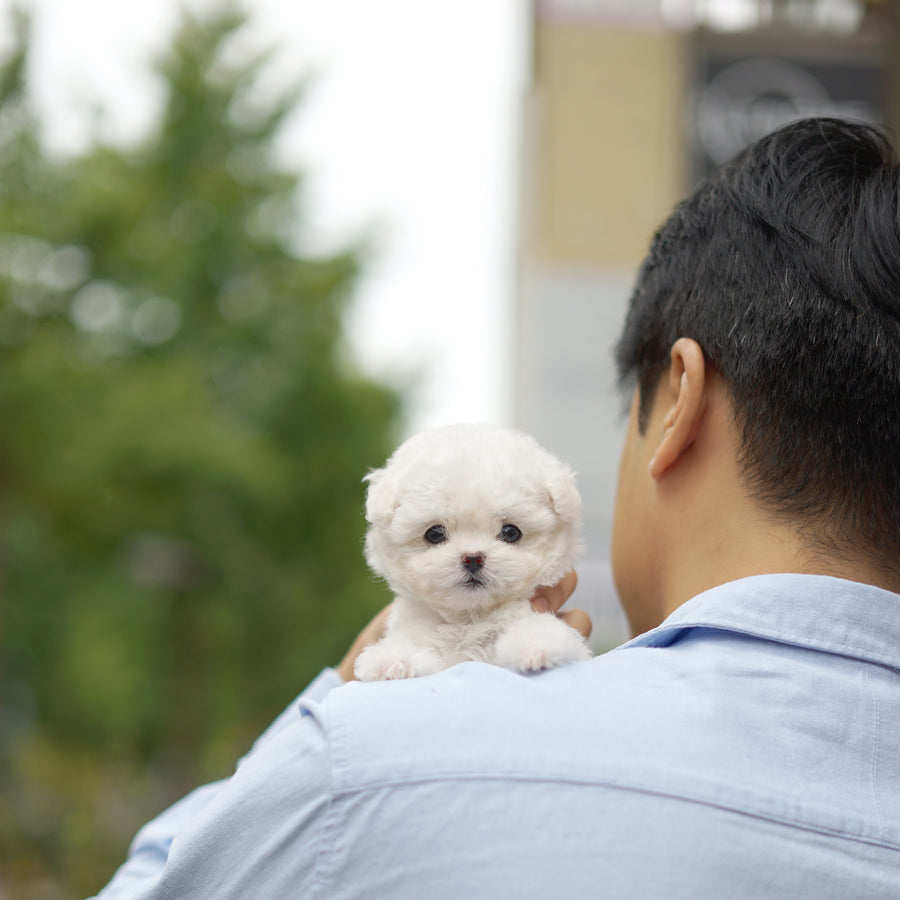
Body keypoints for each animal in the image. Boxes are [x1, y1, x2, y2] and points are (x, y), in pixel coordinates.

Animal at [356, 424, 596, 684]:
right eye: (434, 534)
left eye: (511, 532)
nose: (473, 558)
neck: (470, 619)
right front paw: (394, 661)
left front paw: (537, 645)